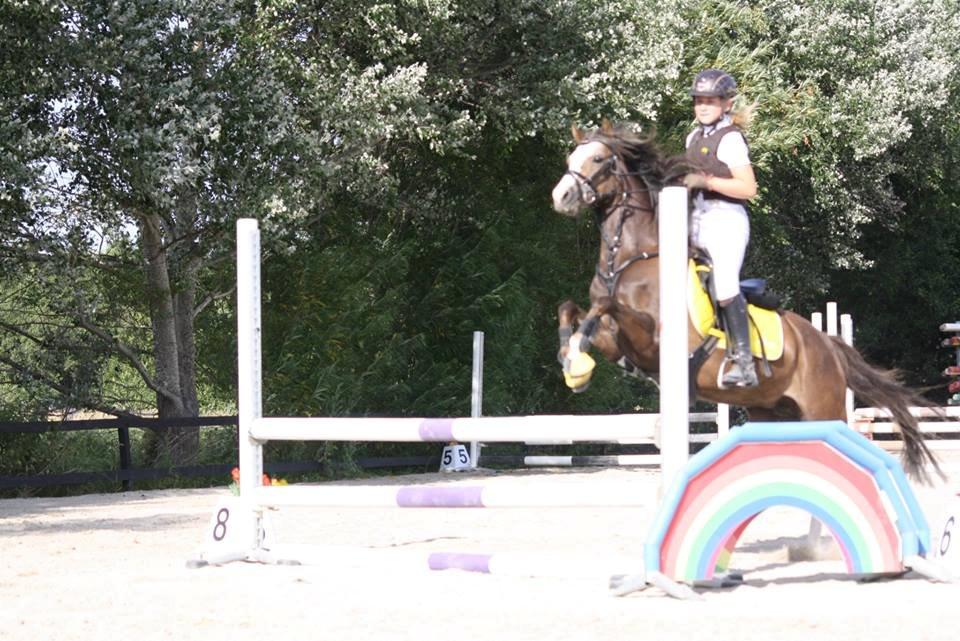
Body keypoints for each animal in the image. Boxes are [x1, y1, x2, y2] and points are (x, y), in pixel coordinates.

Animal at [550, 121, 940, 482]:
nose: (561, 195)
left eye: (598, 159)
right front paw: (572, 360)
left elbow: (605, 307)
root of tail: (827, 344)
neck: (631, 258)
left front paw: (577, 363)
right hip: (773, 413)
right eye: (570, 158)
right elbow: (572, 309)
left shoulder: (652, 340)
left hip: (823, 409)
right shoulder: (619, 344)